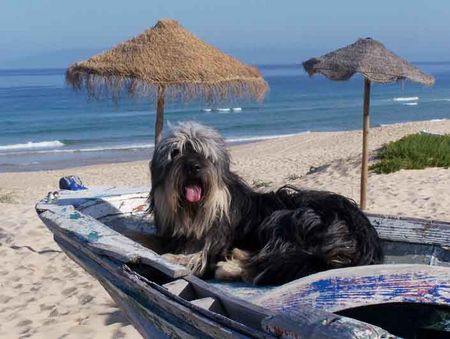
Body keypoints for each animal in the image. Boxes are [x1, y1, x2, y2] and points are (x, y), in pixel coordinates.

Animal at [149, 121, 382, 286]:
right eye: (176, 152)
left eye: (203, 153)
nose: (194, 167)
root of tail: (364, 234)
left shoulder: (213, 245)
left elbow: (188, 258)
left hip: (290, 218)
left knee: (273, 264)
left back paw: (230, 267)